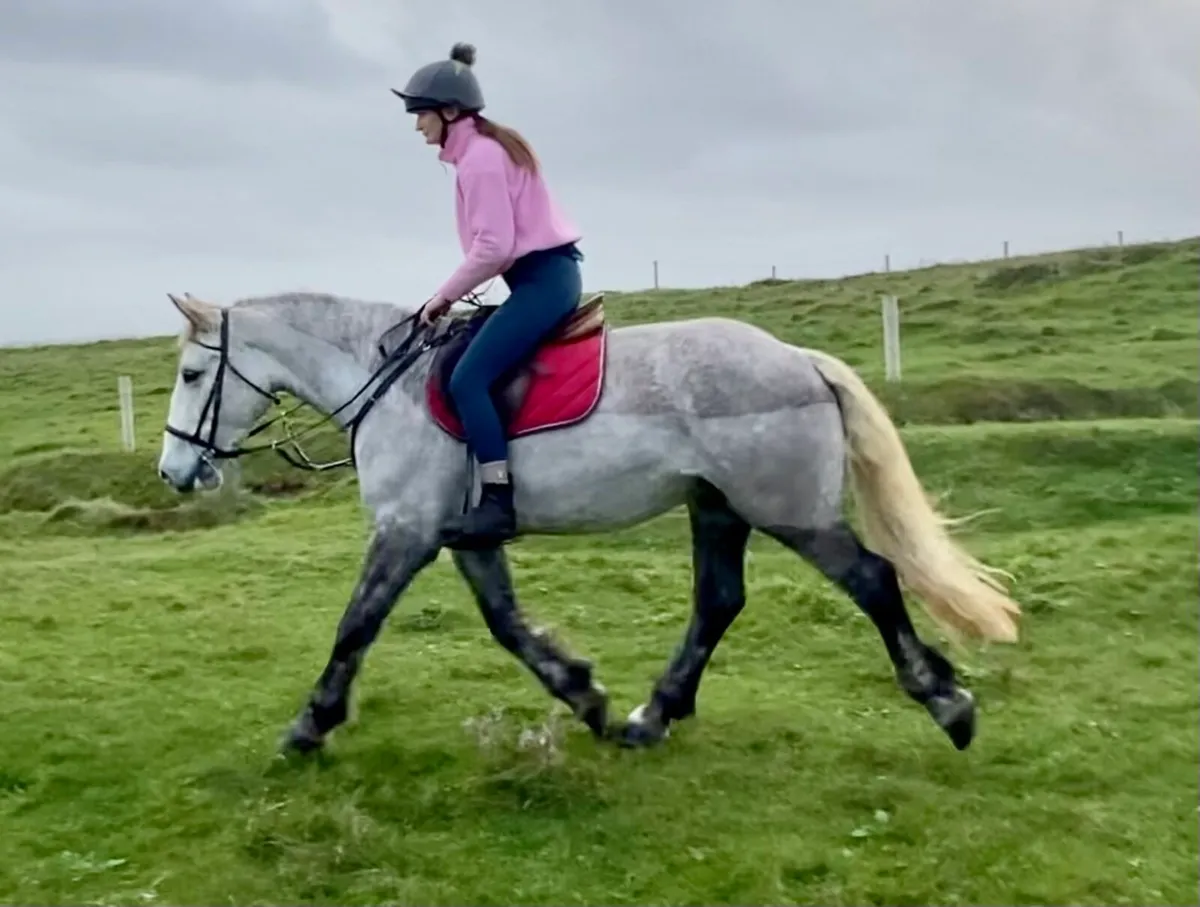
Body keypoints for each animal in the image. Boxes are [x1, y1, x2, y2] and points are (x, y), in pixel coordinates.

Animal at [155, 289, 1021, 755]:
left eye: (194, 373)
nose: (174, 471)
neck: (387, 384)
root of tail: (798, 358)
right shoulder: (461, 537)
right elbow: (507, 623)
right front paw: (586, 696)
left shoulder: (405, 531)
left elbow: (355, 625)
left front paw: (311, 723)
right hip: (717, 507)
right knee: (718, 601)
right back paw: (651, 715)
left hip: (788, 512)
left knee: (874, 579)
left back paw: (949, 703)